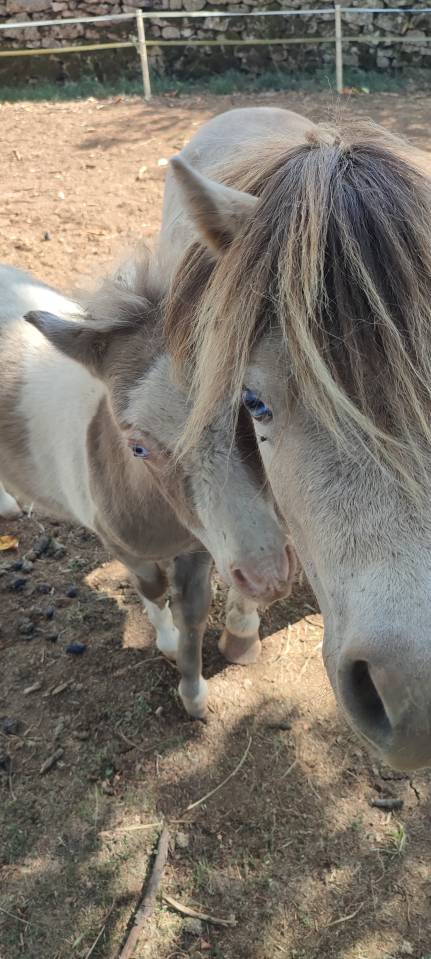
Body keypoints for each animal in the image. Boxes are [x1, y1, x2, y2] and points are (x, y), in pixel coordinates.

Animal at [0, 258, 294, 718]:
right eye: (138, 446)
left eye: (247, 403)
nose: (267, 575)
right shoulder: (122, 546)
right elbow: (153, 590)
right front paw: (168, 644)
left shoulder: (200, 543)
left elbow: (193, 608)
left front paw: (194, 696)